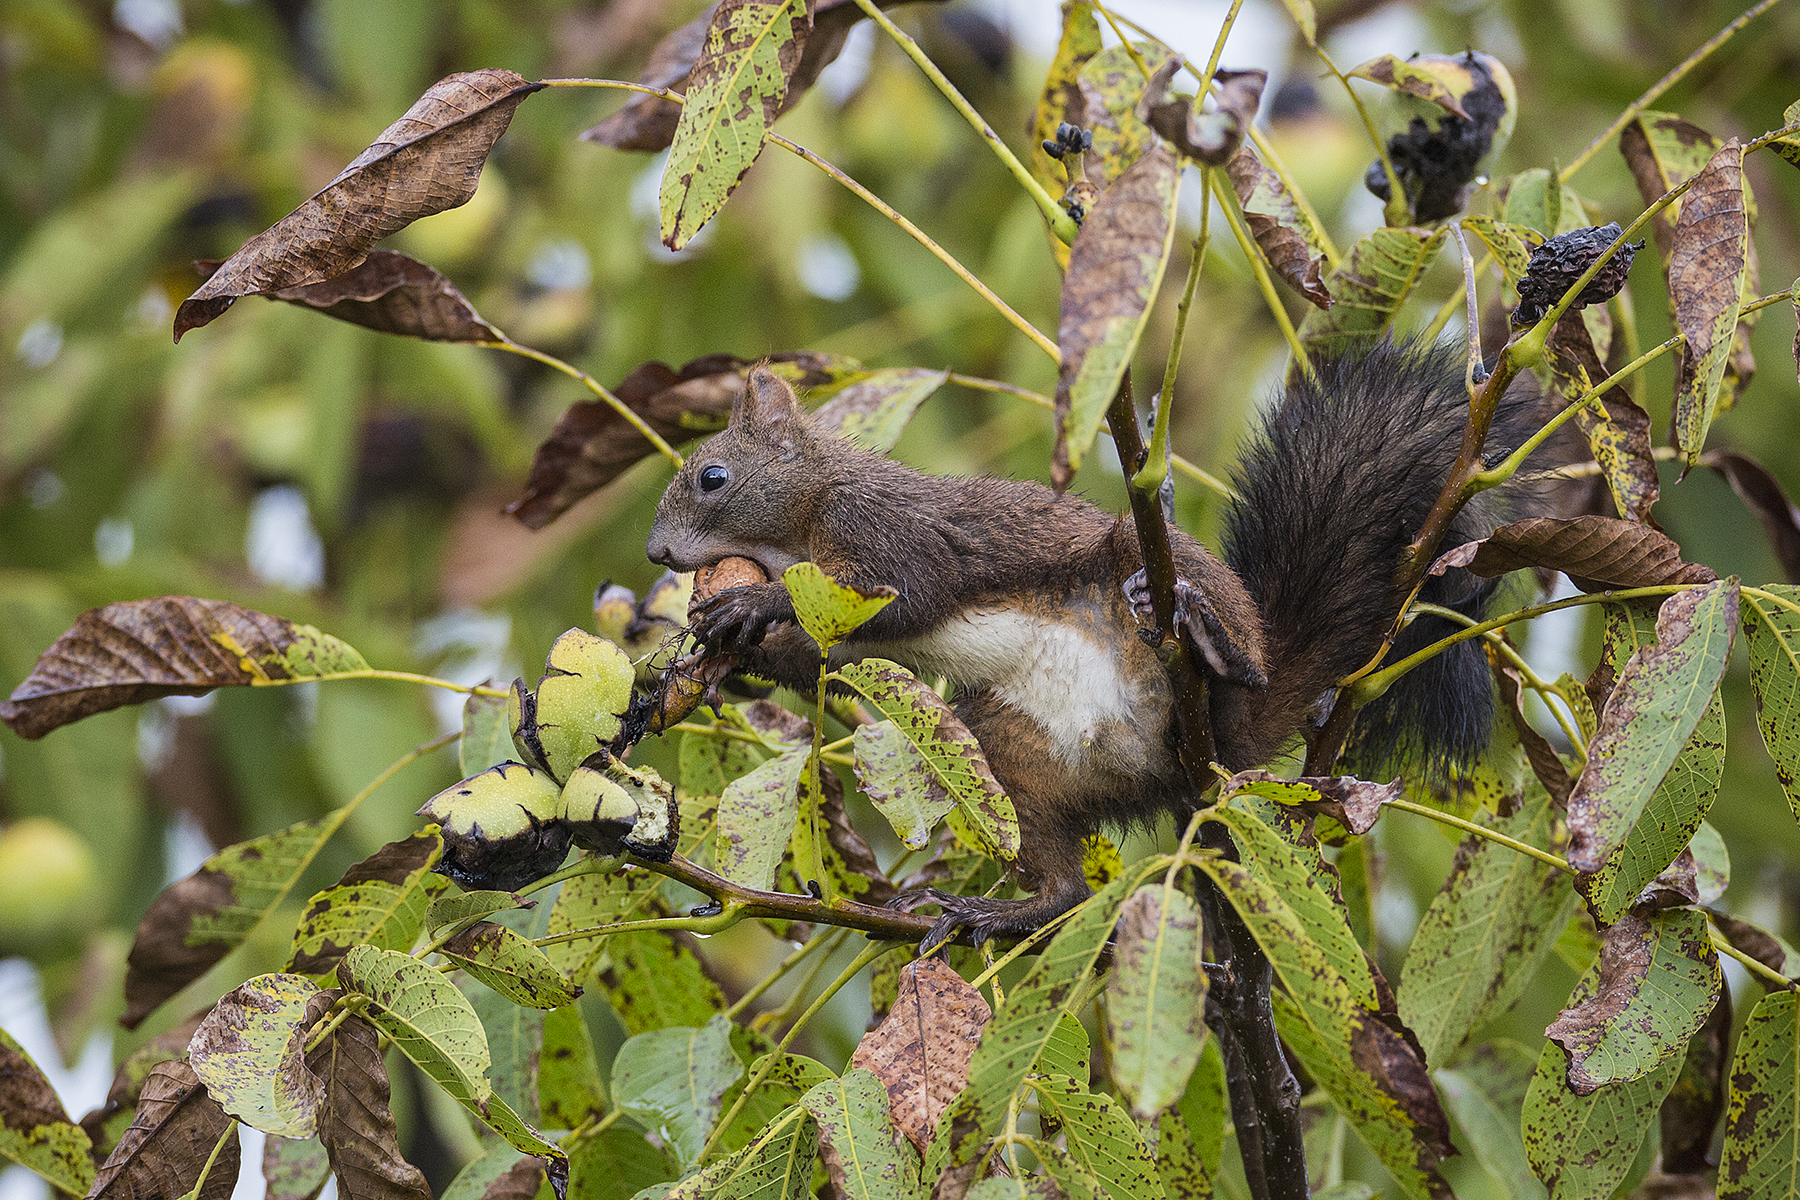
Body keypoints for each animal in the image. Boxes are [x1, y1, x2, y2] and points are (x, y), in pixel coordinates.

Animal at [644, 340, 1557, 946]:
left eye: (713, 477)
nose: (654, 554)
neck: (805, 516)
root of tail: (1197, 753)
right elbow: (821, 657)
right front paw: (732, 651)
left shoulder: (891, 531)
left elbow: (898, 595)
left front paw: (752, 602)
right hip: (1012, 753)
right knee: (1065, 884)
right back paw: (1002, 910)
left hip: (1151, 570)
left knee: (1235, 659)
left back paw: (1215, 645)